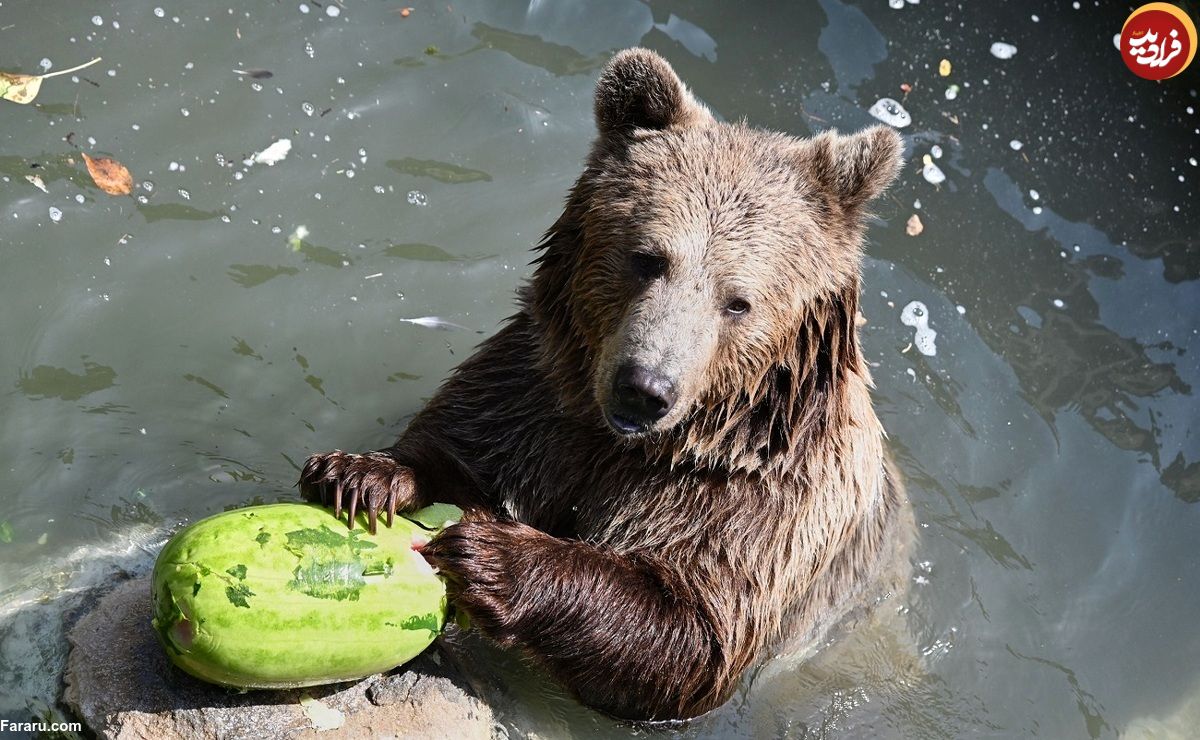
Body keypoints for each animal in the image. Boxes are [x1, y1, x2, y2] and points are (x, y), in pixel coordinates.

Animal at [302, 47, 907, 719]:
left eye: (738, 301)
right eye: (648, 258)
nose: (644, 387)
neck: (635, 444)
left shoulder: (765, 498)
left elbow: (692, 631)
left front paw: (491, 556)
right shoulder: (533, 397)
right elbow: (458, 448)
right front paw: (360, 476)